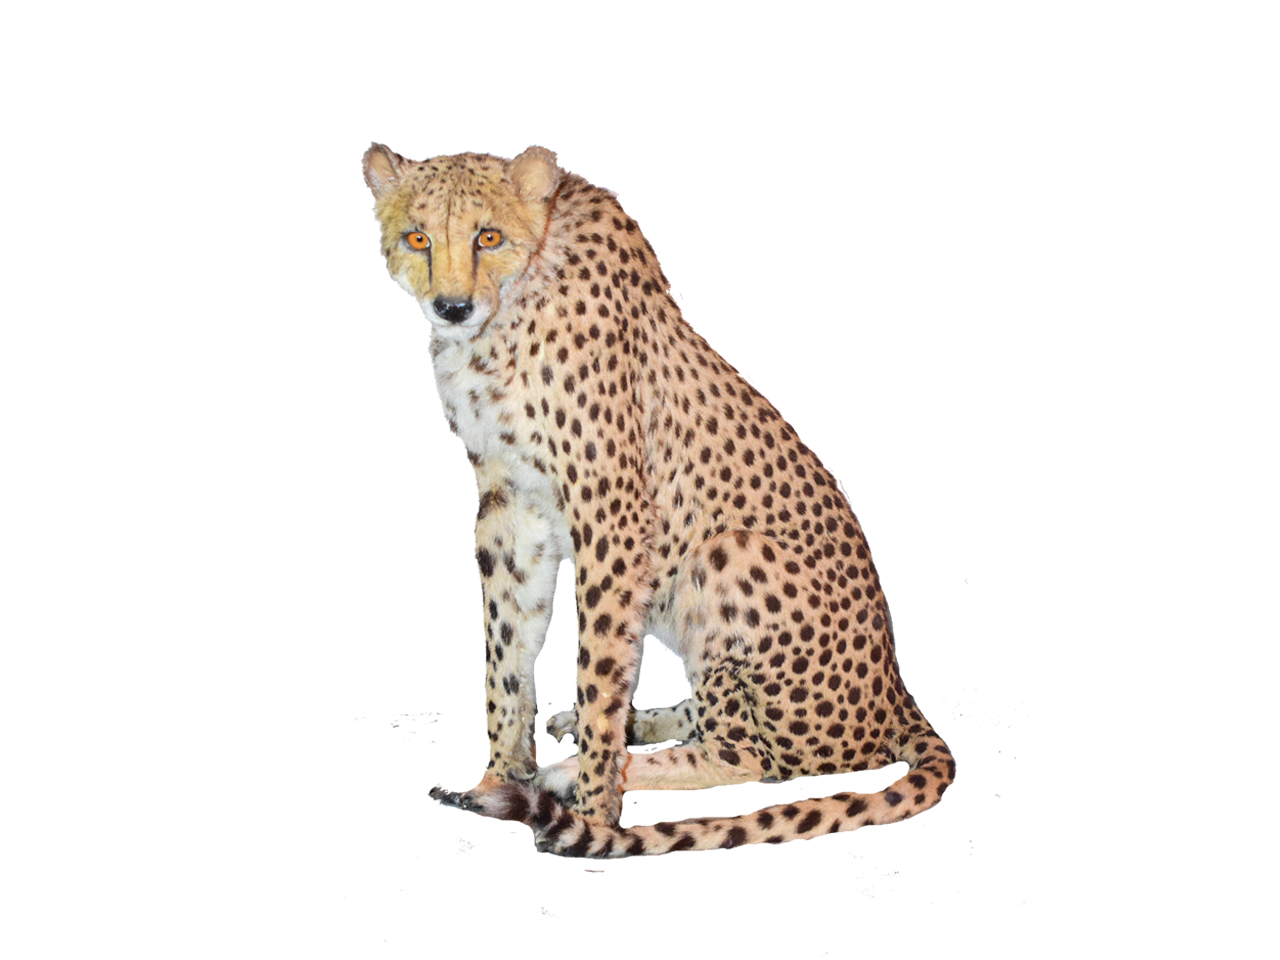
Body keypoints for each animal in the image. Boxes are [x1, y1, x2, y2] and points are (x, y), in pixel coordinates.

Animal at [360, 142, 956, 858]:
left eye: (489, 237)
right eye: (417, 238)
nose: (451, 307)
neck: (504, 311)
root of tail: (899, 694)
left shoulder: (609, 511)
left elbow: (599, 670)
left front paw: (593, 818)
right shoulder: (510, 502)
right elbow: (506, 649)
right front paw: (496, 782)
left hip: (730, 554)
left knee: (751, 756)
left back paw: (578, 774)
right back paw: (621, 734)